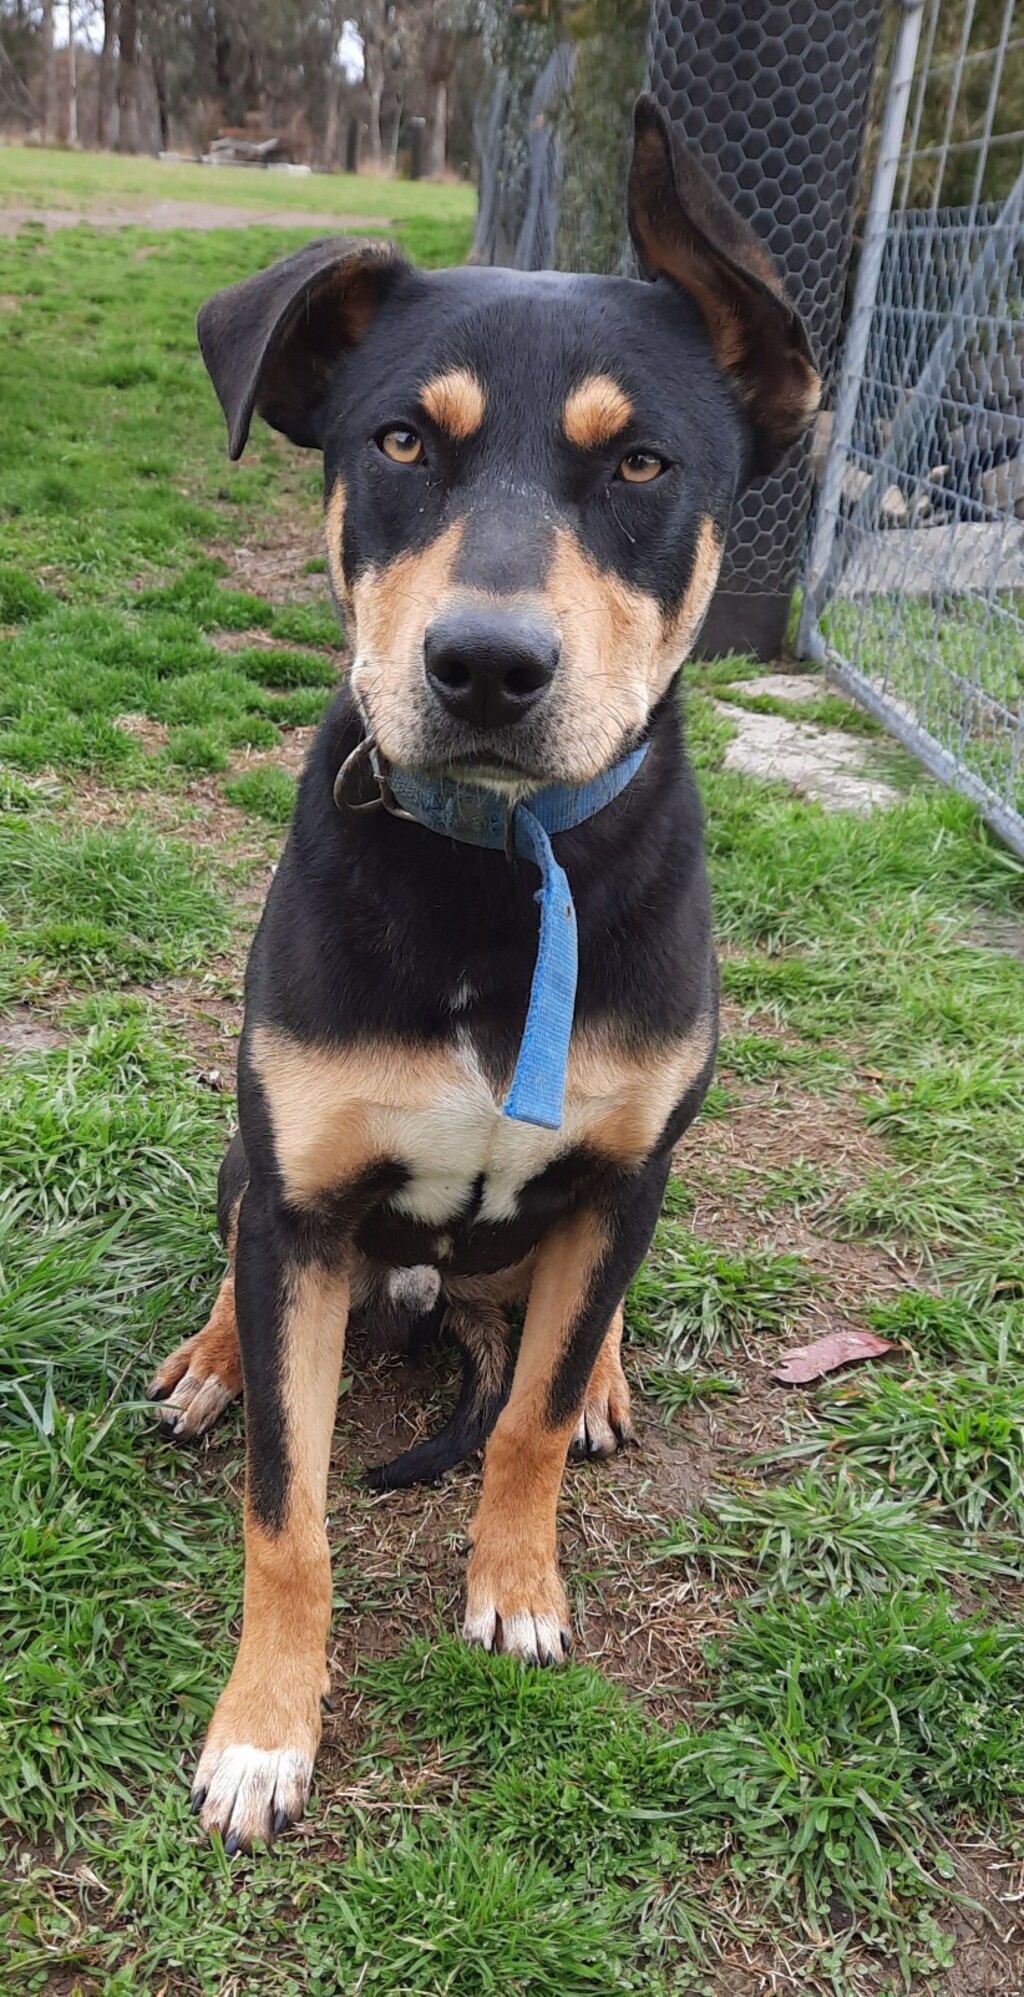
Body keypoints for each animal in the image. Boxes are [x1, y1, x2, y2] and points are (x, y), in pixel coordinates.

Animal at [151, 101, 818, 1845]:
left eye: (643, 463)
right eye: (400, 443)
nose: (488, 667)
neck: (499, 872)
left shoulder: (627, 1168)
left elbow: (521, 1418)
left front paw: (517, 1581)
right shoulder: (304, 1195)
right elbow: (288, 1510)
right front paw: (264, 1730)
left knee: (570, 1325)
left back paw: (605, 1380)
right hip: (251, 1164)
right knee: (239, 1260)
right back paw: (208, 1359)